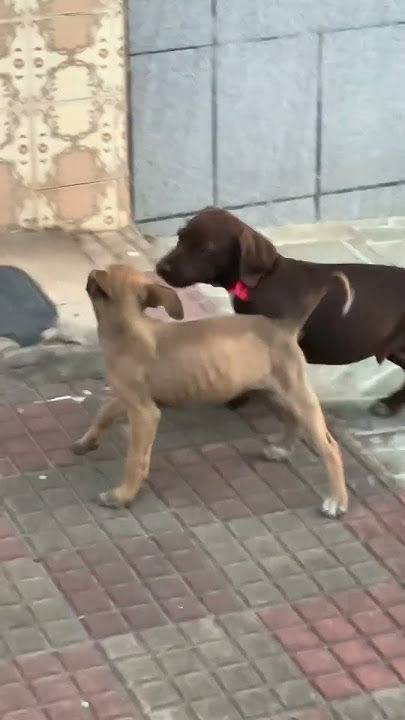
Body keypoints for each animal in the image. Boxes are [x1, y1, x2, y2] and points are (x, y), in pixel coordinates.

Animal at [74, 264, 352, 516]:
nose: (89, 274)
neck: (127, 327)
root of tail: (286, 327)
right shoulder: (131, 398)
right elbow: (104, 412)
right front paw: (87, 441)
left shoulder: (144, 413)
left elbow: (135, 459)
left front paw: (121, 495)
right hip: (273, 390)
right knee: (293, 418)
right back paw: (283, 449)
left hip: (295, 392)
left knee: (329, 447)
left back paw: (337, 501)